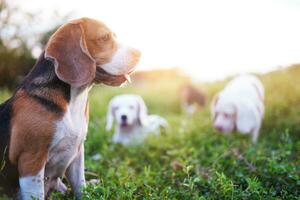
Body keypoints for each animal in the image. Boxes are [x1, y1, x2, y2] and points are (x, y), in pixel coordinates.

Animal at [0, 18, 140, 199]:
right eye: (105, 37)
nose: (139, 53)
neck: (74, 99)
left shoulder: (77, 153)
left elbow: (80, 186)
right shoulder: (31, 160)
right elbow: (36, 193)